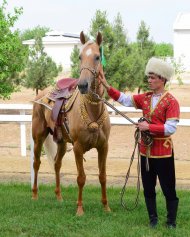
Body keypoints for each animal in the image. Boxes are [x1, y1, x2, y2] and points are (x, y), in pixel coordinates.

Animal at [31, 31, 111, 215]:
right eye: (80, 56)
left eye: (97, 57)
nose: (82, 85)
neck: (92, 110)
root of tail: (41, 95)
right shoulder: (78, 148)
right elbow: (81, 178)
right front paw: (79, 209)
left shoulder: (103, 147)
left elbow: (102, 176)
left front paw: (106, 207)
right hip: (38, 138)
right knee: (36, 163)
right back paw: (35, 195)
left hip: (61, 142)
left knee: (57, 164)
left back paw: (59, 196)